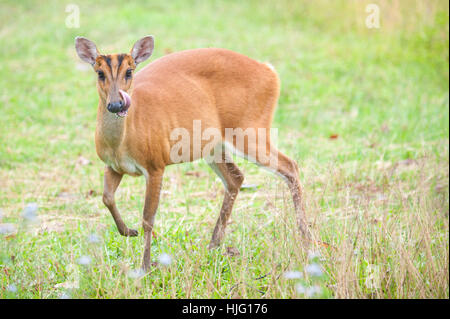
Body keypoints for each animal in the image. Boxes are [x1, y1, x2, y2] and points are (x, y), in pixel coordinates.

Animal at [75, 36, 312, 272]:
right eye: (99, 73)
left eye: (129, 71)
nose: (116, 104)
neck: (121, 143)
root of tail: (270, 71)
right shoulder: (112, 166)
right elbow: (107, 197)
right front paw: (128, 231)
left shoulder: (155, 164)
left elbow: (148, 217)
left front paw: (145, 266)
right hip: (214, 145)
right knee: (236, 177)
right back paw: (214, 245)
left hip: (250, 129)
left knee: (290, 165)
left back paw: (306, 239)